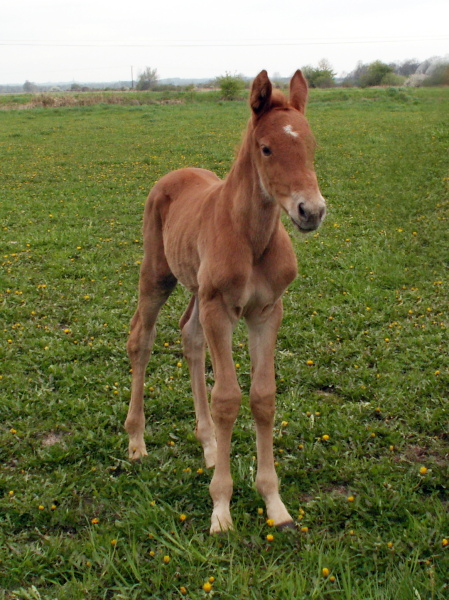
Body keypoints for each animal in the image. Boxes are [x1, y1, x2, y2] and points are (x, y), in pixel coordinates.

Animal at [126, 70, 326, 536]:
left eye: (310, 145)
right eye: (266, 148)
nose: (311, 211)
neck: (251, 237)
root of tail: (174, 174)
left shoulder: (266, 312)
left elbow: (263, 397)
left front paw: (274, 503)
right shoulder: (221, 309)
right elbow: (227, 399)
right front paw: (221, 509)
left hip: (198, 291)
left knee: (189, 336)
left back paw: (209, 446)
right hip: (157, 276)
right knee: (141, 339)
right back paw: (137, 441)